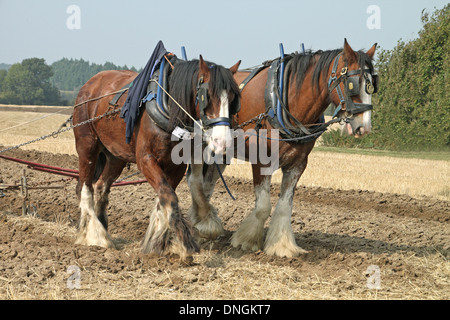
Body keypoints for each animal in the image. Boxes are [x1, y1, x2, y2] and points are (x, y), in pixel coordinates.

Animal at [73, 55, 241, 260]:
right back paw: (95, 235)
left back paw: (103, 227)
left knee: (101, 186)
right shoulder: (146, 159)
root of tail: (90, 83)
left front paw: (159, 241)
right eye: (206, 95)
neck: (170, 109)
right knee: (85, 187)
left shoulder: (176, 166)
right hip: (87, 145)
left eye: (233, 99)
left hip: (115, 156)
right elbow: (169, 196)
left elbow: (165, 197)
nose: (223, 142)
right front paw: (182, 243)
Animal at [188, 39, 378, 258]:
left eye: (372, 85)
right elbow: (263, 206)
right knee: (195, 181)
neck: (283, 102)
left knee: (207, 185)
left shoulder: (298, 164)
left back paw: (204, 224)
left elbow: (285, 206)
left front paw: (282, 245)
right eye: (352, 84)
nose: (364, 127)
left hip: (221, 154)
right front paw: (247, 240)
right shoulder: (261, 161)